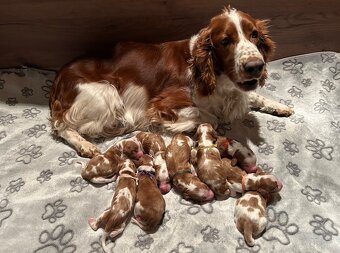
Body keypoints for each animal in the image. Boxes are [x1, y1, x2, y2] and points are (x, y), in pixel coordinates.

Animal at [49, 6, 294, 157]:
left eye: (254, 35)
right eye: (226, 41)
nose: (255, 66)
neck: (213, 75)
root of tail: (59, 76)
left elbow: (255, 96)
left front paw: (280, 106)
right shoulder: (162, 104)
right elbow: (212, 118)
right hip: (105, 92)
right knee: (61, 126)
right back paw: (86, 145)